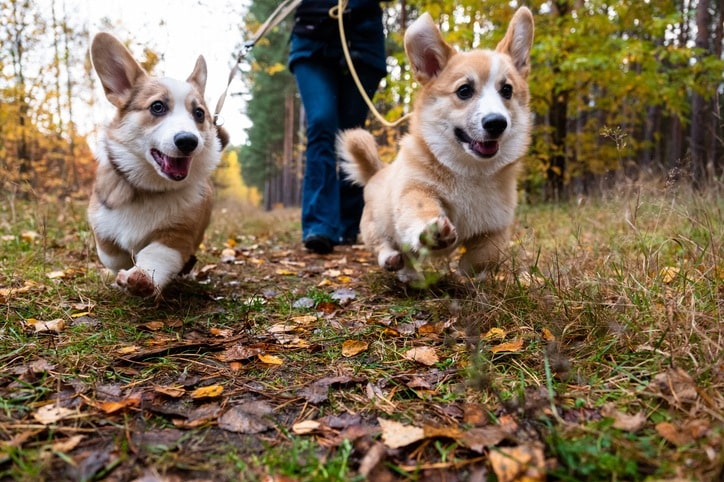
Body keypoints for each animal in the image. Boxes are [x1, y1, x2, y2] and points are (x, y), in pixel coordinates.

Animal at [88, 32, 228, 296]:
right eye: (157, 106)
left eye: (199, 113)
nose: (188, 141)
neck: (149, 189)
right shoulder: (101, 225)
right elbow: (112, 255)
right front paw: (124, 268)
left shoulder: (177, 235)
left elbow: (156, 255)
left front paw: (141, 278)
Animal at [338, 7, 532, 284]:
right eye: (464, 91)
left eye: (507, 90)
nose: (496, 123)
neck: (471, 171)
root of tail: (377, 171)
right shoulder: (416, 191)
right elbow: (421, 211)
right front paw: (432, 234)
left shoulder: (497, 225)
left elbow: (488, 254)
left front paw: (469, 271)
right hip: (374, 225)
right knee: (385, 245)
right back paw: (396, 263)